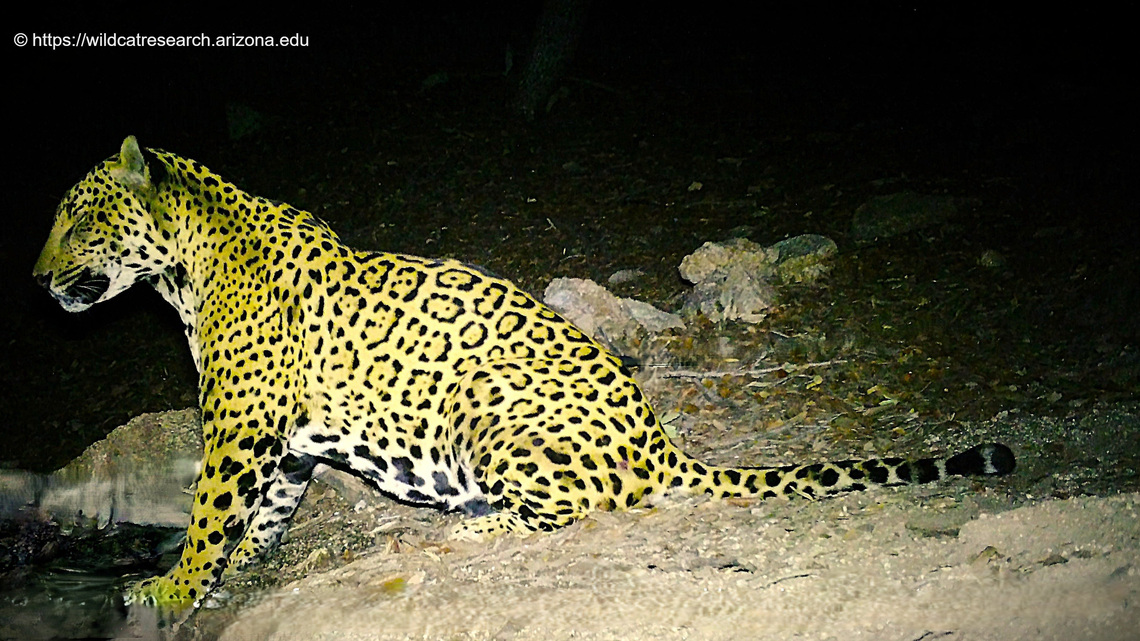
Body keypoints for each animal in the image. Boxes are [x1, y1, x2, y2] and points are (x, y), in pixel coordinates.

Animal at [33, 136, 1015, 615]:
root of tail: (664, 442)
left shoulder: (238, 428)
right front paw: (239, 569)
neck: (183, 269)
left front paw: (168, 588)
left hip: (486, 400)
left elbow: (207, 518)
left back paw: (472, 522)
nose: (37, 280)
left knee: (573, 508)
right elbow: (265, 515)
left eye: (79, 220)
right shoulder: (283, 440)